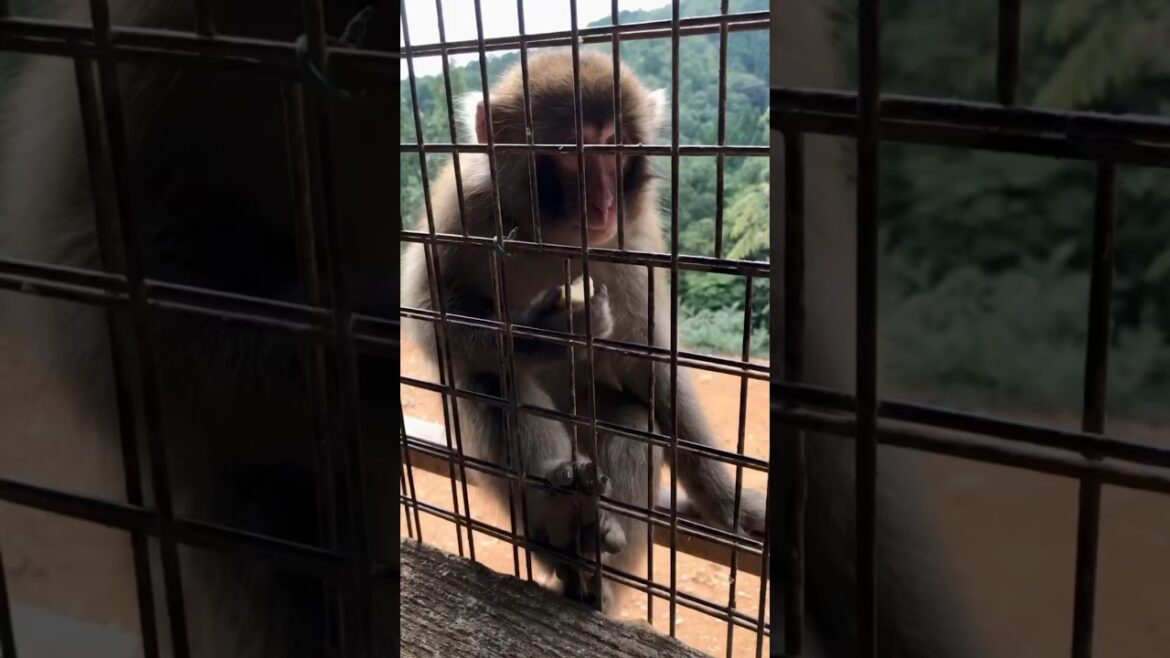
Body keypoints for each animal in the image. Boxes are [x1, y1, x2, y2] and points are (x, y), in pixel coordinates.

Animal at [400, 49, 768, 613]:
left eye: (614, 148)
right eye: (571, 154)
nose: (603, 206)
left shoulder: (631, 247)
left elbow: (650, 365)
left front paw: (728, 503)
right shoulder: (462, 208)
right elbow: (429, 316)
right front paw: (546, 334)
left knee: (631, 418)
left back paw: (597, 555)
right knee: (489, 376)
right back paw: (563, 520)